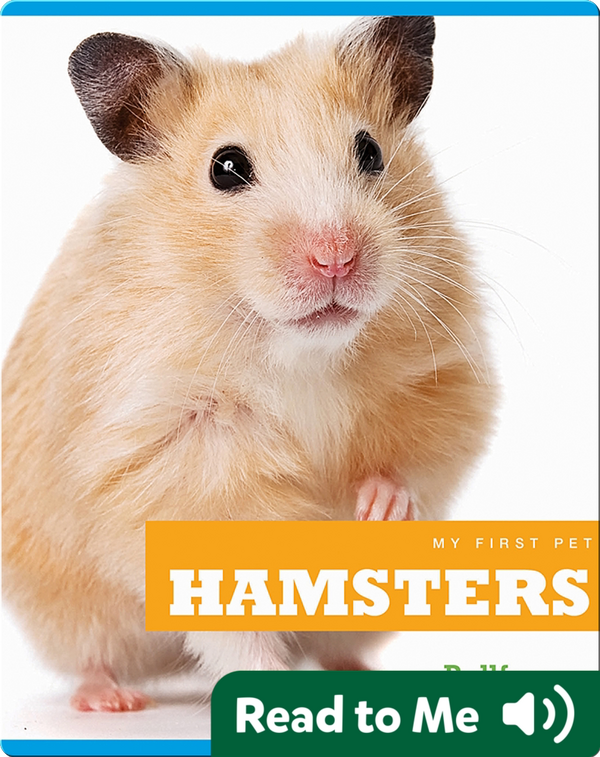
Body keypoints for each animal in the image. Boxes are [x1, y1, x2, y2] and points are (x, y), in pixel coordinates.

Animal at [2, 16, 497, 712]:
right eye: (226, 168)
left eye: (370, 151)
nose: (336, 257)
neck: (299, 353)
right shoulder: (176, 453)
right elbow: (235, 615)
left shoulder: (443, 380)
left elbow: (413, 464)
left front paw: (376, 508)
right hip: (67, 610)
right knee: (94, 658)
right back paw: (113, 701)